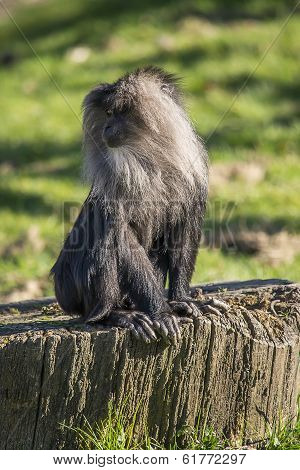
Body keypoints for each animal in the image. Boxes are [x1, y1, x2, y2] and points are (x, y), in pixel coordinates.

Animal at [50, 66, 209, 344]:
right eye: (108, 113)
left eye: (120, 112)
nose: (107, 126)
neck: (150, 164)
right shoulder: (113, 187)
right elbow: (123, 239)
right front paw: (161, 312)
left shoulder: (191, 178)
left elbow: (183, 233)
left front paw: (181, 300)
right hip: (71, 289)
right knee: (104, 237)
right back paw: (114, 315)